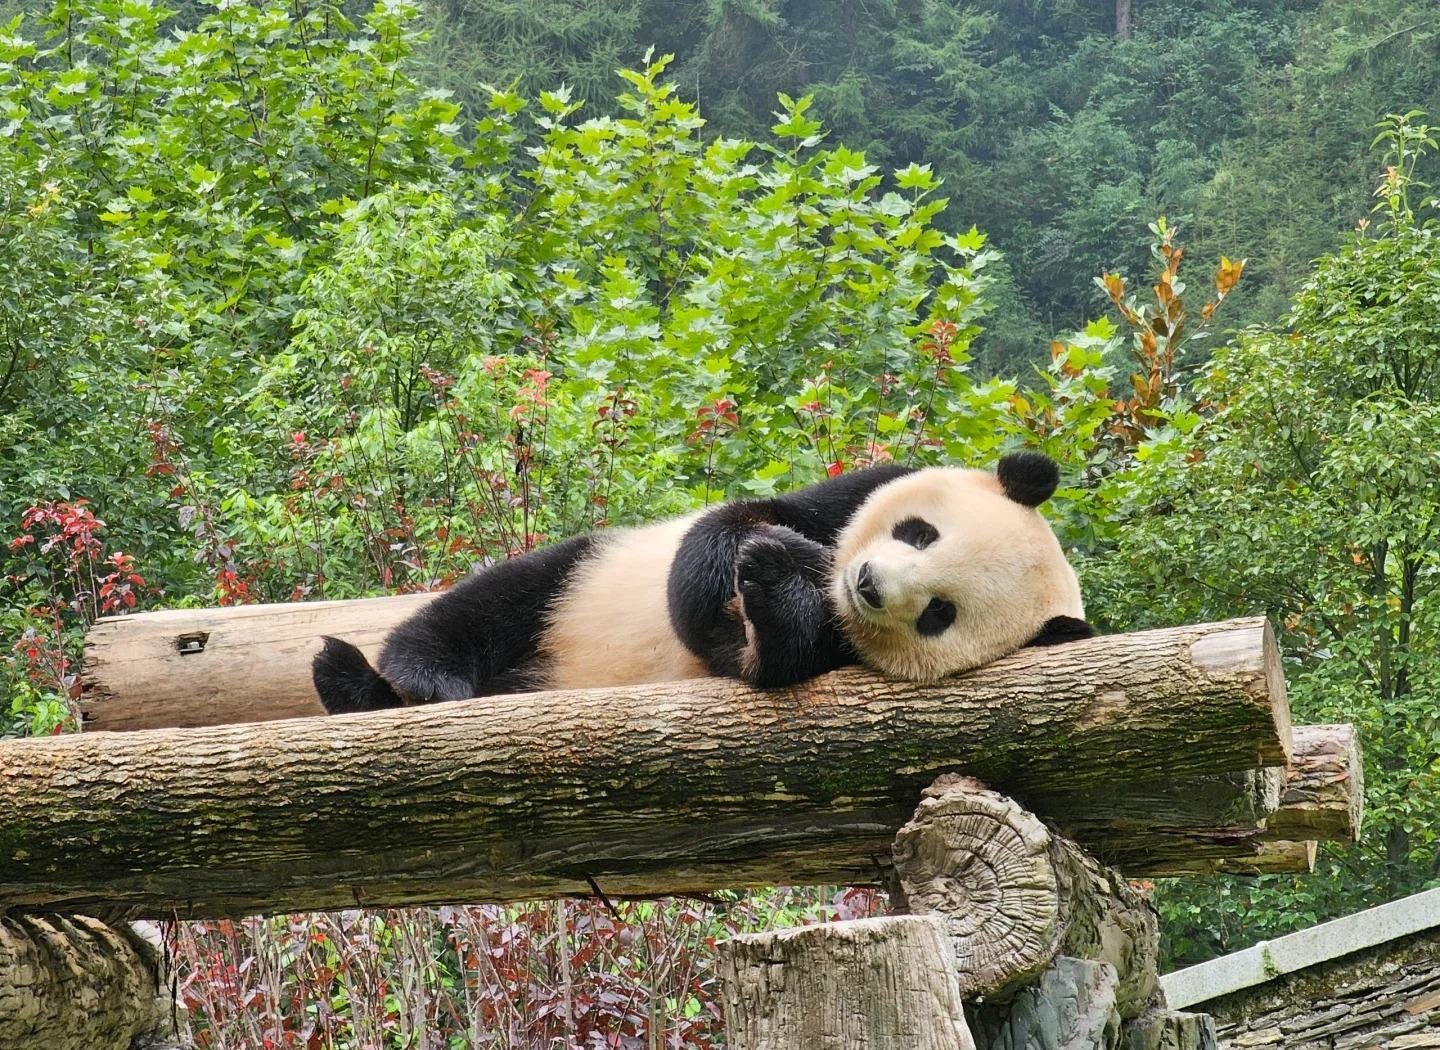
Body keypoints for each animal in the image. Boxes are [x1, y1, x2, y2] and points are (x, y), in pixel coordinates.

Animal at [312, 451, 1093, 713]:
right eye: (919, 534)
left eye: (939, 614)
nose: (867, 584)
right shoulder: (846, 498)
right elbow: (724, 533)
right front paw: (762, 563)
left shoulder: (835, 655)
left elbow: (770, 661)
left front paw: (773, 597)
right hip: (577, 586)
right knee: (495, 603)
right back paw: (389, 676)